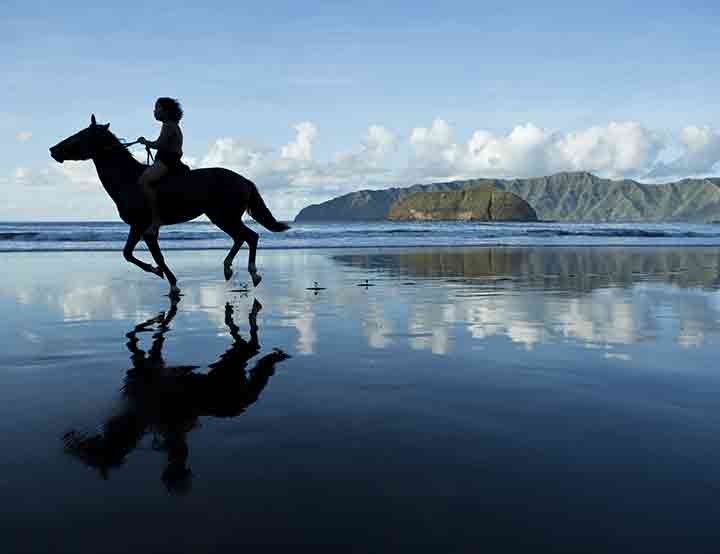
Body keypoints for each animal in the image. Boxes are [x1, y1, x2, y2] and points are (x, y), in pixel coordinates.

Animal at [47, 114, 292, 296]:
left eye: (81, 135)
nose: (53, 150)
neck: (128, 179)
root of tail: (244, 180)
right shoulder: (139, 228)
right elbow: (130, 254)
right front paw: (160, 274)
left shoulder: (143, 227)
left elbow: (148, 256)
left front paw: (166, 279)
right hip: (222, 218)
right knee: (241, 237)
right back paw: (228, 268)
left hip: (224, 217)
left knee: (250, 236)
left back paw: (252, 273)